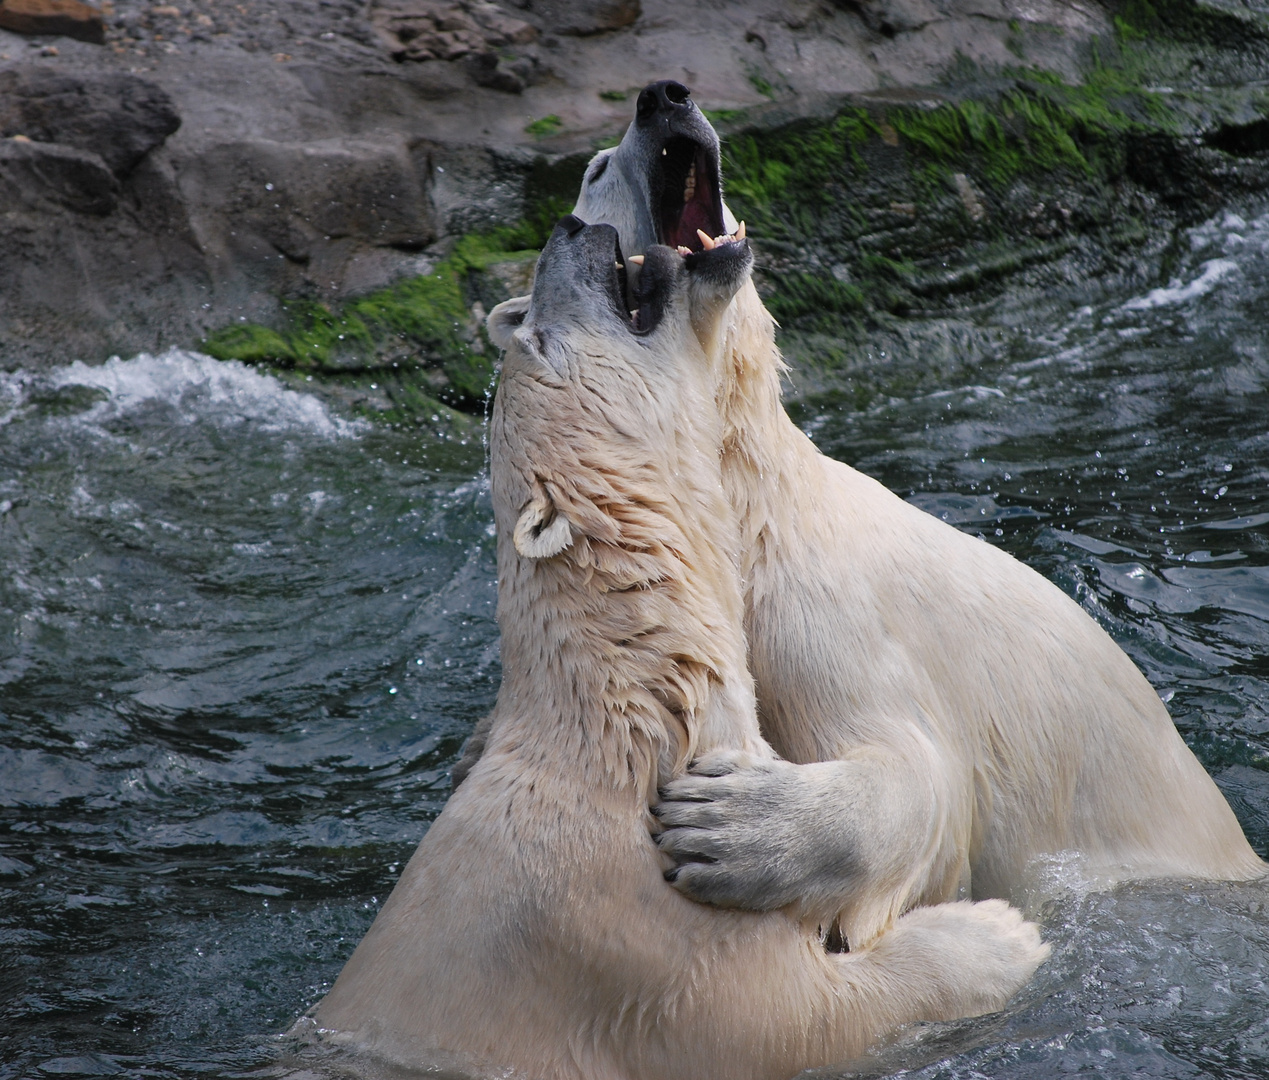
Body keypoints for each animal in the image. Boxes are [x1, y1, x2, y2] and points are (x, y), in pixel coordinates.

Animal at [307, 217, 1050, 1080]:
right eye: (537, 335)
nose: (570, 229)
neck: (629, 727)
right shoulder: (656, 948)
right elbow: (810, 1016)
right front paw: (997, 936)